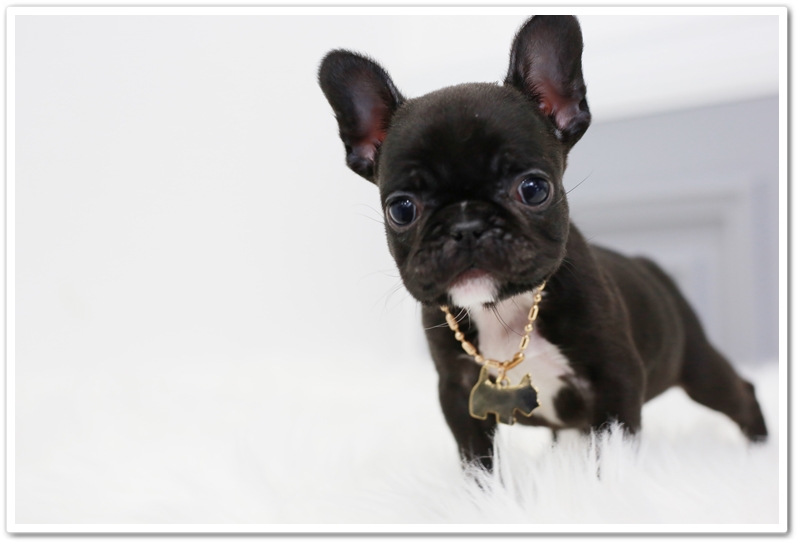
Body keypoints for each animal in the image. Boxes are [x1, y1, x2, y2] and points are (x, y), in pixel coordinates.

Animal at [318, 15, 768, 470]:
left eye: (533, 189)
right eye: (402, 209)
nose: (467, 224)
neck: (504, 309)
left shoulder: (615, 378)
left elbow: (613, 455)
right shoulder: (458, 390)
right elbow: (476, 458)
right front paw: (485, 489)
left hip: (695, 364)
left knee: (739, 391)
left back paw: (760, 448)